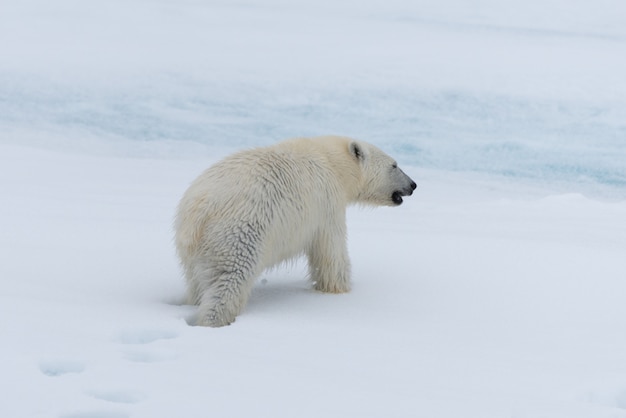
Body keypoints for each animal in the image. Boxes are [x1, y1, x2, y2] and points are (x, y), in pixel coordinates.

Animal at [173, 137, 414, 326]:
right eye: (394, 165)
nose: (413, 185)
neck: (333, 162)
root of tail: (197, 213)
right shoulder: (326, 203)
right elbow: (330, 252)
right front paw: (340, 290)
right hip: (237, 233)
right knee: (229, 280)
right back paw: (216, 320)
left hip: (191, 249)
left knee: (197, 283)